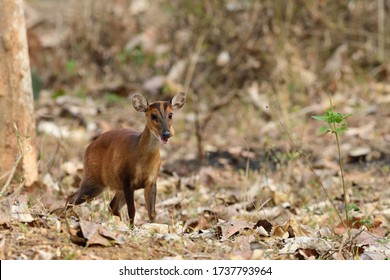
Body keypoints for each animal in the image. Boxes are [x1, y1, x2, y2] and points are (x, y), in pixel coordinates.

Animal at [65, 93, 186, 226]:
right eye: (153, 115)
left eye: (170, 114)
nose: (166, 133)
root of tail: (88, 147)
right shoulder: (126, 179)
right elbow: (132, 210)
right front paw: (132, 228)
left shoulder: (152, 180)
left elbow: (152, 212)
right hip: (93, 180)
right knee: (70, 198)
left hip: (113, 186)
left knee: (112, 206)